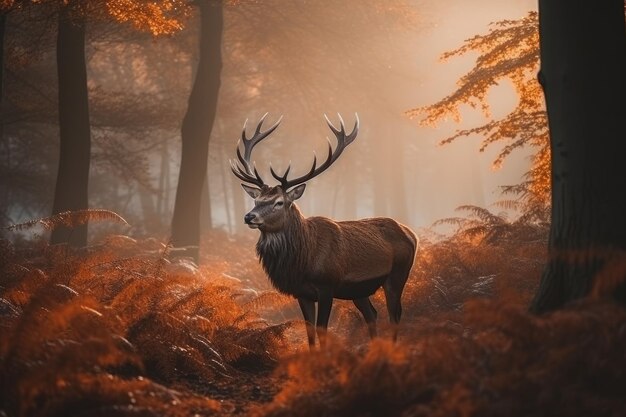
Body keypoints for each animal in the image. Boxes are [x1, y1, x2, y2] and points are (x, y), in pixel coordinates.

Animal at [227, 112, 416, 346]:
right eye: (256, 200)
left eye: (279, 202)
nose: (249, 216)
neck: (303, 261)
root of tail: (412, 234)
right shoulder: (302, 293)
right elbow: (310, 333)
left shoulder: (326, 286)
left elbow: (322, 330)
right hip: (359, 289)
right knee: (372, 313)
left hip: (398, 274)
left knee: (395, 314)